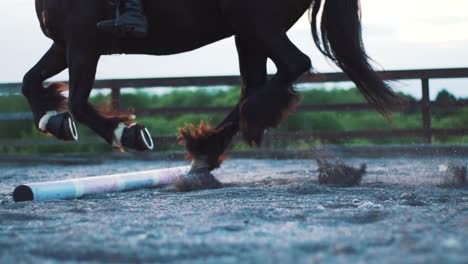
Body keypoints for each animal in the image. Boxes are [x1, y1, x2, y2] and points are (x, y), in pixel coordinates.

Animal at [24, 0, 398, 169]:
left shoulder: (82, 40)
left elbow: (77, 103)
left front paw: (128, 134)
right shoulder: (65, 43)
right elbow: (30, 82)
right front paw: (53, 122)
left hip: (254, 21)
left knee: (293, 65)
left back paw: (234, 129)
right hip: (247, 31)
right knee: (256, 81)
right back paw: (208, 146)